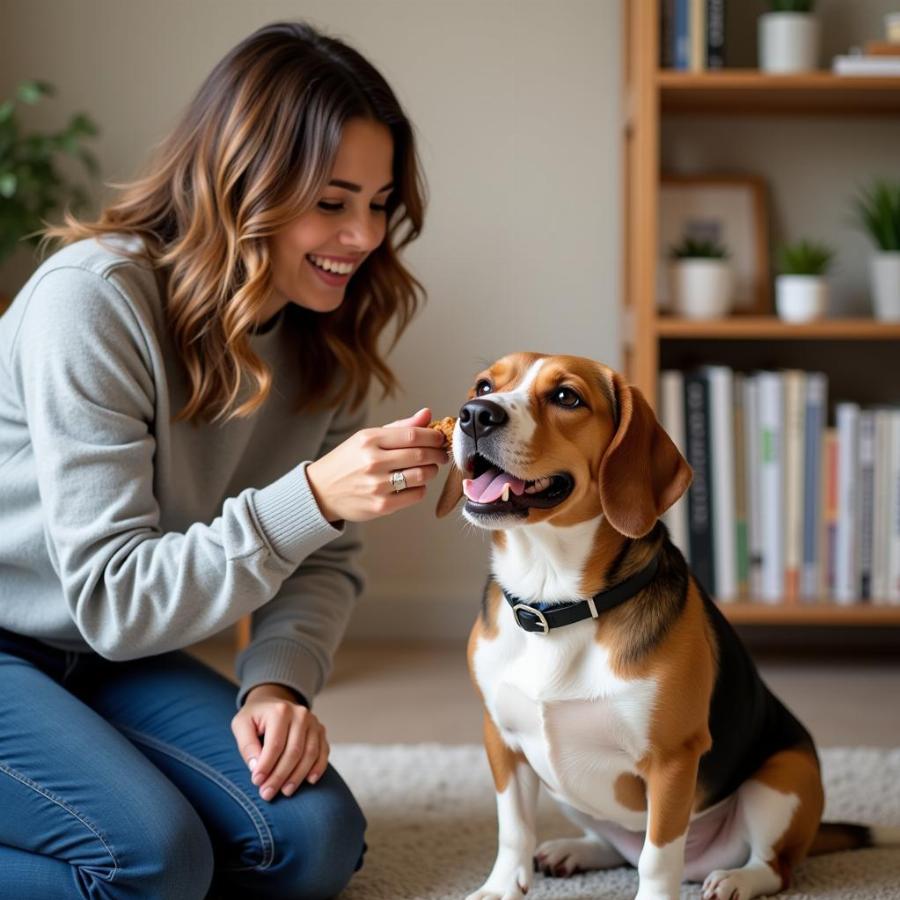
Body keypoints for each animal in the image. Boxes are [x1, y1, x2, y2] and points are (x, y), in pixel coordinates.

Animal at [434, 356, 892, 900]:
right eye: (483, 386)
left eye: (567, 397)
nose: (475, 415)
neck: (556, 603)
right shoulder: (502, 740)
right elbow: (514, 828)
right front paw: (502, 886)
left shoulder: (673, 760)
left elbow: (657, 858)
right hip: (566, 788)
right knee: (617, 846)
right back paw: (575, 850)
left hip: (784, 778)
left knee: (770, 865)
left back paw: (736, 878)